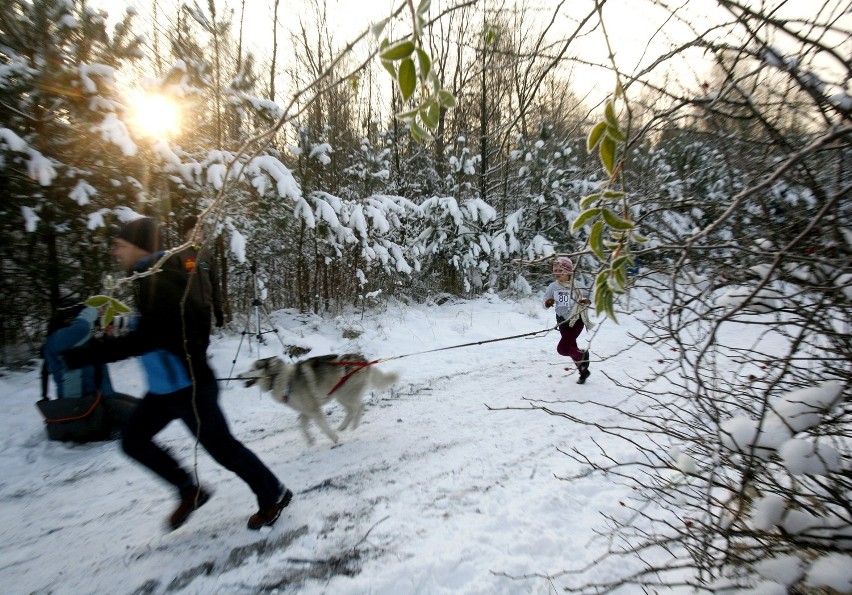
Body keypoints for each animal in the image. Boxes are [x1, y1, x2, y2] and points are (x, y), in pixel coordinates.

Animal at [240, 354, 400, 448]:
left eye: (252, 369)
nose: (239, 375)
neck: (282, 378)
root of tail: (364, 361)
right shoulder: (306, 411)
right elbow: (302, 425)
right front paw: (310, 441)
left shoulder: (313, 409)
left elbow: (323, 427)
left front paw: (334, 438)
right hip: (340, 395)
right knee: (353, 409)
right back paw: (344, 427)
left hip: (345, 395)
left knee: (359, 406)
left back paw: (352, 426)